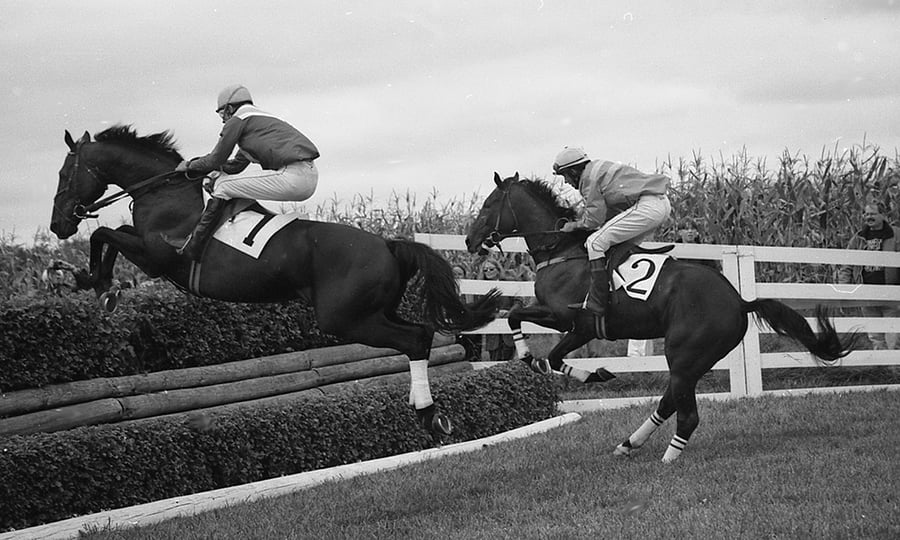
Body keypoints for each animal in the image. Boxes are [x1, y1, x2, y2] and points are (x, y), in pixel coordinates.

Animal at [49, 125, 501, 439]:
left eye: (64, 173)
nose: (57, 225)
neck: (164, 195)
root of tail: (389, 244)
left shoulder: (158, 257)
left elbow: (103, 234)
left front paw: (95, 283)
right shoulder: (146, 248)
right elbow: (111, 234)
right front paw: (93, 282)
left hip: (345, 319)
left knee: (414, 340)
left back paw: (428, 414)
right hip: (374, 310)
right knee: (420, 334)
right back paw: (426, 409)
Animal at [464, 172, 857, 462]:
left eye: (488, 205)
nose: (469, 241)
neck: (560, 251)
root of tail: (739, 300)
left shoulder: (572, 321)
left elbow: (537, 337)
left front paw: (553, 363)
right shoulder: (567, 322)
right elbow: (523, 324)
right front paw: (544, 362)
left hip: (684, 354)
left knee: (686, 413)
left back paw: (668, 457)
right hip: (694, 359)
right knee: (670, 401)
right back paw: (629, 444)